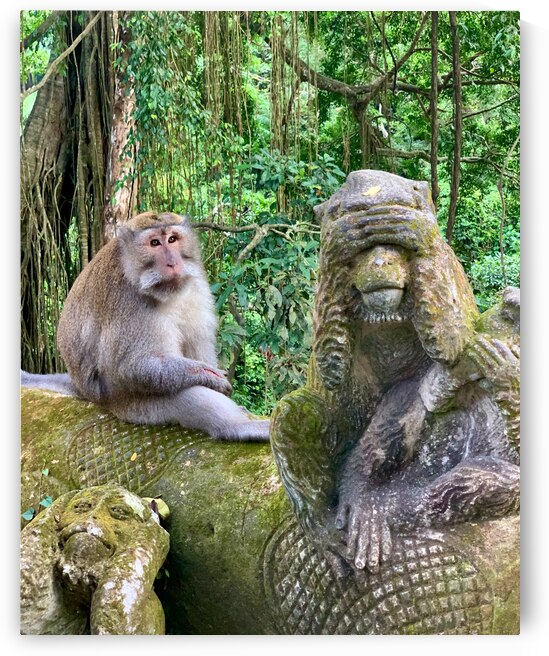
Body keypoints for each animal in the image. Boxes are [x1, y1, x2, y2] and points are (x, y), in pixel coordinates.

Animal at [21, 211, 270, 442]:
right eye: (154, 243)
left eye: (172, 239)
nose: (172, 263)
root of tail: (85, 390)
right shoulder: (128, 301)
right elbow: (130, 368)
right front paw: (207, 374)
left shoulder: (196, 284)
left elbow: (198, 343)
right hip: (130, 404)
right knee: (181, 391)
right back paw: (236, 427)